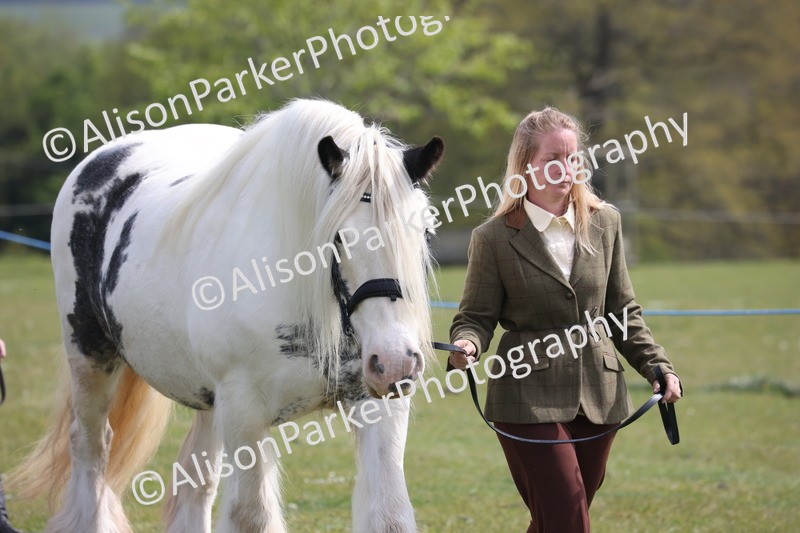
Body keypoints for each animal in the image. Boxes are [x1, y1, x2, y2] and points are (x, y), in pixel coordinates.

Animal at [12, 98, 444, 533]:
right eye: (338, 236)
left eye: (424, 232)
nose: (395, 363)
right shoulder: (244, 409)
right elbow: (251, 517)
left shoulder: (377, 405)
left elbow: (388, 516)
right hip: (90, 358)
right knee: (91, 449)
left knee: (195, 478)